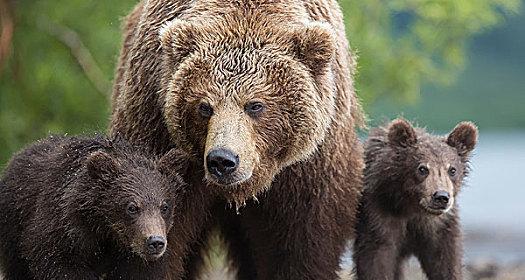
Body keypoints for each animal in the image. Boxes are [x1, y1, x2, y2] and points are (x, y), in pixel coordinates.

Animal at [110, 1, 364, 278]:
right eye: (204, 106)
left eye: (255, 105)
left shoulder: (311, 167)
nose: (222, 160)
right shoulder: (158, 131)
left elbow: (303, 246)